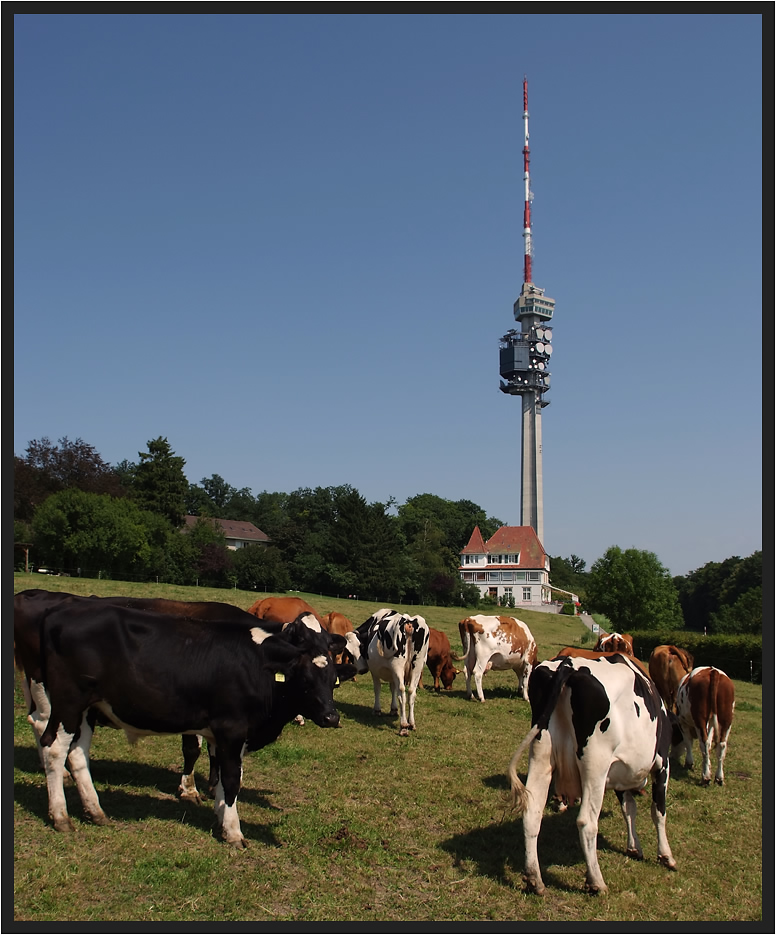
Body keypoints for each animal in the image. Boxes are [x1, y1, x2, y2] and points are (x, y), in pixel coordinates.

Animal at [34, 600, 354, 848]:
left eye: (332, 678)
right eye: (305, 677)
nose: (331, 717)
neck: (259, 665)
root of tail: (62, 610)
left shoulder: (224, 736)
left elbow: (222, 778)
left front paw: (221, 816)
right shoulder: (231, 729)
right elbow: (231, 779)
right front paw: (234, 831)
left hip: (89, 709)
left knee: (78, 754)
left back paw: (95, 811)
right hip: (68, 702)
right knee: (53, 747)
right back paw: (61, 816)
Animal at [506, 656, 676, 896]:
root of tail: (567, 665)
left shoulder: (621, 774)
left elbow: (629, 809)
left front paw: (634, 847)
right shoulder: (662, 764)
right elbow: (658, 812)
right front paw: (665, 855)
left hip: (541, 755)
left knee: (532, 813)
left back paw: (534, 879)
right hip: (595, 765)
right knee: (586, 821)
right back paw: (596, 881)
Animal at [672, 660, 732, 788]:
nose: (672, 756)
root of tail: (713, 671)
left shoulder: (682, 722)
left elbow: (688, 742)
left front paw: (689, 763)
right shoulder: (711, 724)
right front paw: (708, 765)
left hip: (700, 718)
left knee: (704, 744)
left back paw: (706, 777)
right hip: (726, 719)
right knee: (722, 745)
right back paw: (719, 777)